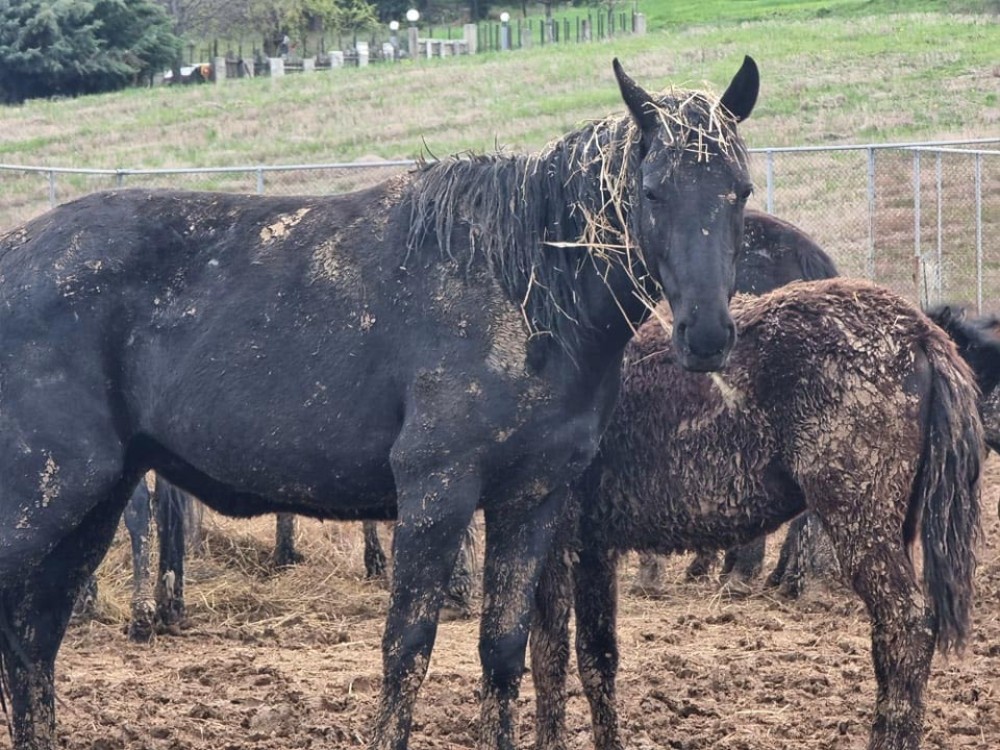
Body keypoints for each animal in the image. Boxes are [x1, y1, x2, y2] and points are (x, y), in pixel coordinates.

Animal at [0, 55, 756, 748]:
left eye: (740, 191)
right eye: (653, 192)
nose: (707, 335)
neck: (525, 292)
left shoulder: (532, 501)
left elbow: (503, 653)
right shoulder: (436, 494)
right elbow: (407, 651)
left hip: (93, 506)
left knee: (32, 644)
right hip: (48, 501)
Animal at [532, 280, 984, 750]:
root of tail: (917, 329)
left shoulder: (552, 545)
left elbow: (547, 656)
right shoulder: (593, 549)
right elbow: (596, 658)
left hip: (861, 523)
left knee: (906, 625)